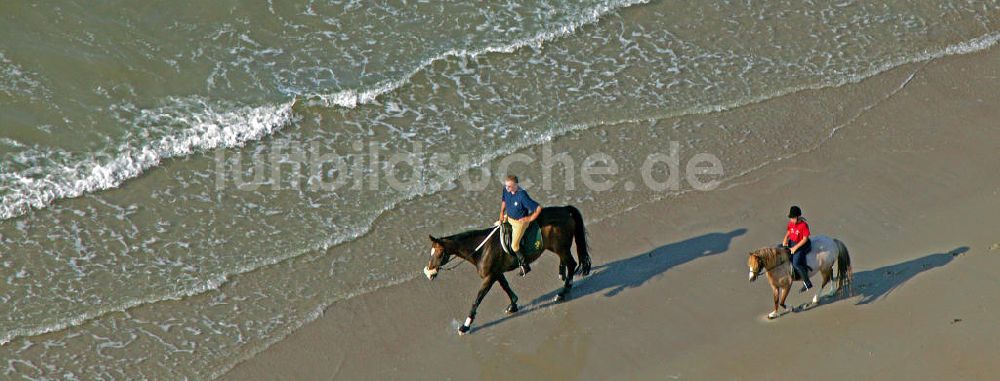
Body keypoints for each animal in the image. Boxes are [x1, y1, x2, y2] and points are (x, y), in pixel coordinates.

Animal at [426, 205, 588, 332]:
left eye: (439, 254)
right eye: (431, 252)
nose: (429, 272)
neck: (481, 248)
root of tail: (565, 209)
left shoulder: (489, 277)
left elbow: (478, 299)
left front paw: (465, 326)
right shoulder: (497, 273)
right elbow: (506, 287)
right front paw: (513, 305)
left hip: (560, 248)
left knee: (572, 264)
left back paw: (563, 292)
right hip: (559, 248)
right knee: (566, 262)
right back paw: (562, 275)